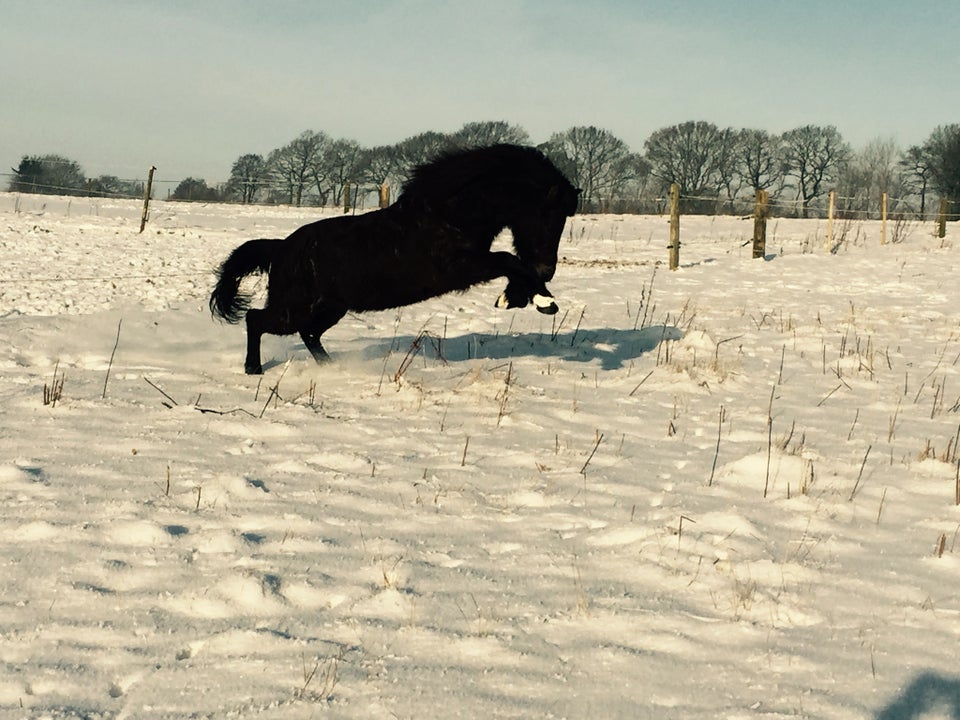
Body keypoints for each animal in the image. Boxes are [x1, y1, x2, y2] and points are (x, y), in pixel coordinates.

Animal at [209, 143, 576, 374]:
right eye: (549, 216)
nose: (549, 268)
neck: (447, 215)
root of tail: (281, 248)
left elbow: (512, 264)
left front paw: (525, 297)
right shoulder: (459, 267)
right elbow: (509, 260)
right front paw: (538, 301)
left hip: (330, 308)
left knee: (308, 334)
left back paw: (331, 367)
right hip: (293, 308)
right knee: (256, 320)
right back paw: (253, 369)